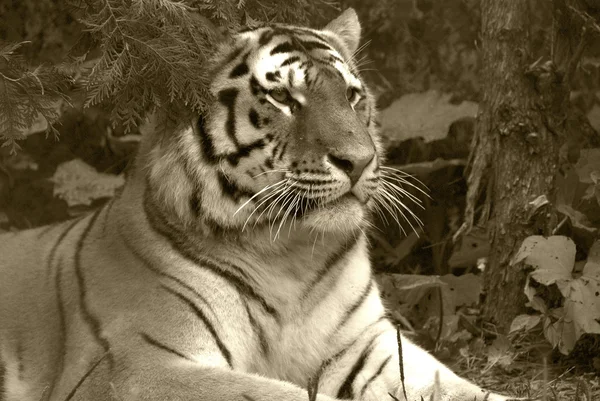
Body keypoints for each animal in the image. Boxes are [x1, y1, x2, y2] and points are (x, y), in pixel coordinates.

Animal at [0, 8, 516, 400]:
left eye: (351, 95)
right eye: (284, 97)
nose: (359, 161)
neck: (290, 257)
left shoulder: (367, 345)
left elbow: (459, 388)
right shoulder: (139, 365)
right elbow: (281, 394)